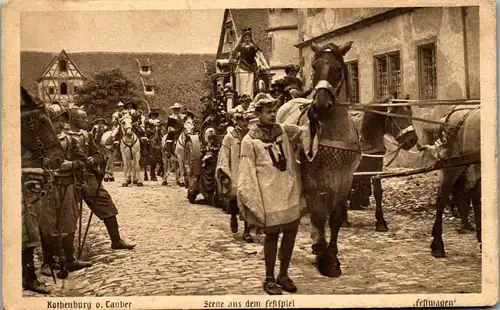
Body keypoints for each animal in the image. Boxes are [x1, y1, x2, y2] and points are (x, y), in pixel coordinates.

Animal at [278, 41, 364, 278]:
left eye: (337, 69)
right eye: (314, 67)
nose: (321, 105)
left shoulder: (345, 179)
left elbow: (335, 218)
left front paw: (333, 257)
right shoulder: (312, 179)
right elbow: (318, 214)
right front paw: (323, 256)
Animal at [344, 98, 418, 231]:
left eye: (410, 114)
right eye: (398, 116)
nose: (413, 140)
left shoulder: (375, 168)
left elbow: (378, 193)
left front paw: (380, 221)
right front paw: (344, 220)